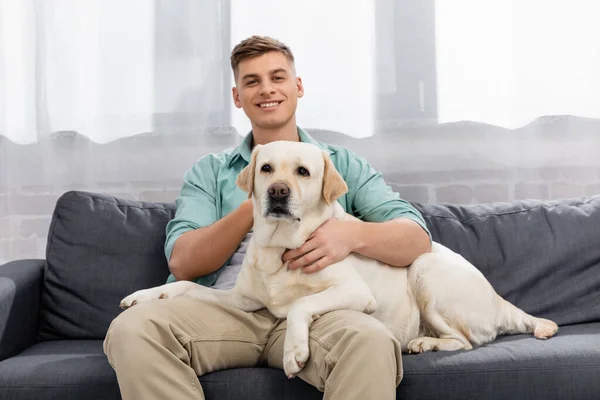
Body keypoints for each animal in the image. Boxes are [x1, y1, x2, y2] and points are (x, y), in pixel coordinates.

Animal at [119, 141, 560, 378]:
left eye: (303, 172)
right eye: (266, 168)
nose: (277, 192)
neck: (280, 248)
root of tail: (498, 300)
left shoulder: (354, 291)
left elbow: (301, 304)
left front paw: (294, 351)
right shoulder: (240, 300)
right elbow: (184, 284)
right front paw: (145, 295)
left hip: (425, 271)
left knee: (466, 342)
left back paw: (423, 342)